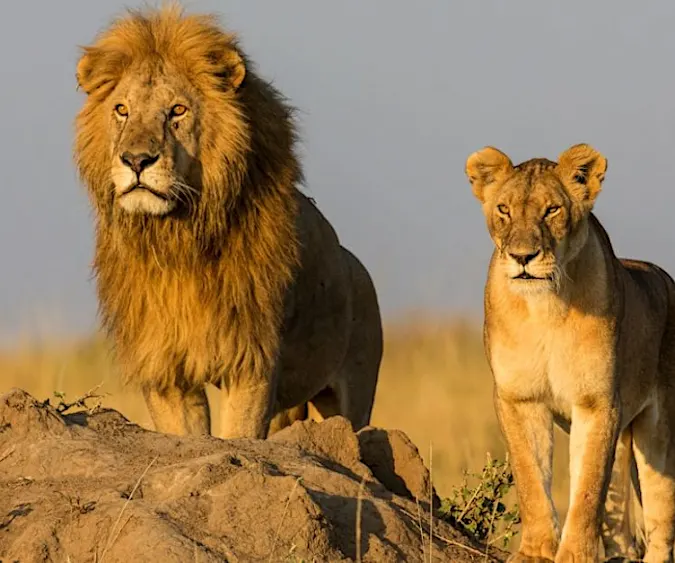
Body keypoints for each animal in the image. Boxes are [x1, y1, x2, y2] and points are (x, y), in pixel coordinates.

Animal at [74, 6, 382, 442]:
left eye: (178, 111)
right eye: (121, 110)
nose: (135, 160)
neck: (179, 236)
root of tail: (356, 265)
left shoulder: (252, 362)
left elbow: (240, 434)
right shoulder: (166, 368)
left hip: (352, 394)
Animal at [468, 143, 675, 560]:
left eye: (552, 209)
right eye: (504, 209)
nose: (523, 257)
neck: (545, 307)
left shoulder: (598, 402)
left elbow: (587, 488)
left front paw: (574, 554)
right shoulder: (519, 397)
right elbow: (531, 478)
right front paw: (534, 551)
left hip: (658, 433)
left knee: (660, 517)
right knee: (622, 531)